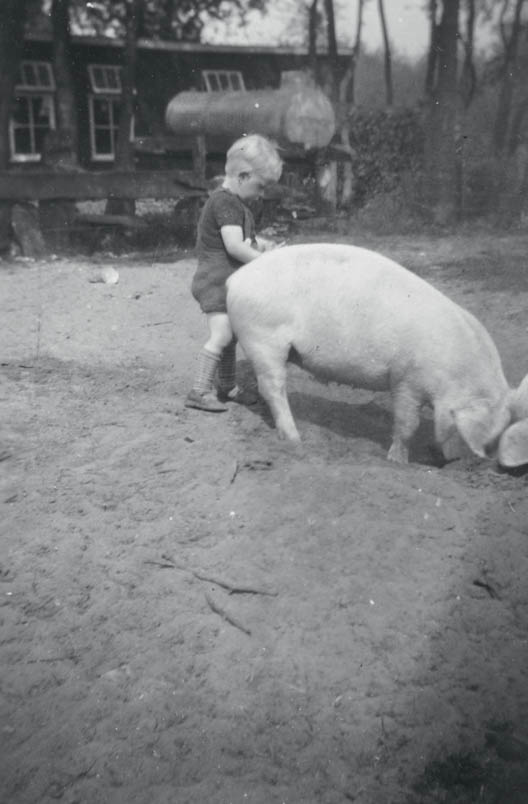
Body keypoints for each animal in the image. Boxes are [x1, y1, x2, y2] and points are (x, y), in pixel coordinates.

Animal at [225, 242, 528, 464]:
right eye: (489, 441)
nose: (459, 464)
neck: (454, 371)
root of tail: (235, 280)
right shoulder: (406, 379)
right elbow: (408, 423)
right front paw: (397, 462)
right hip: (262, 338)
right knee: (272, 387)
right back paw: (295, 440)